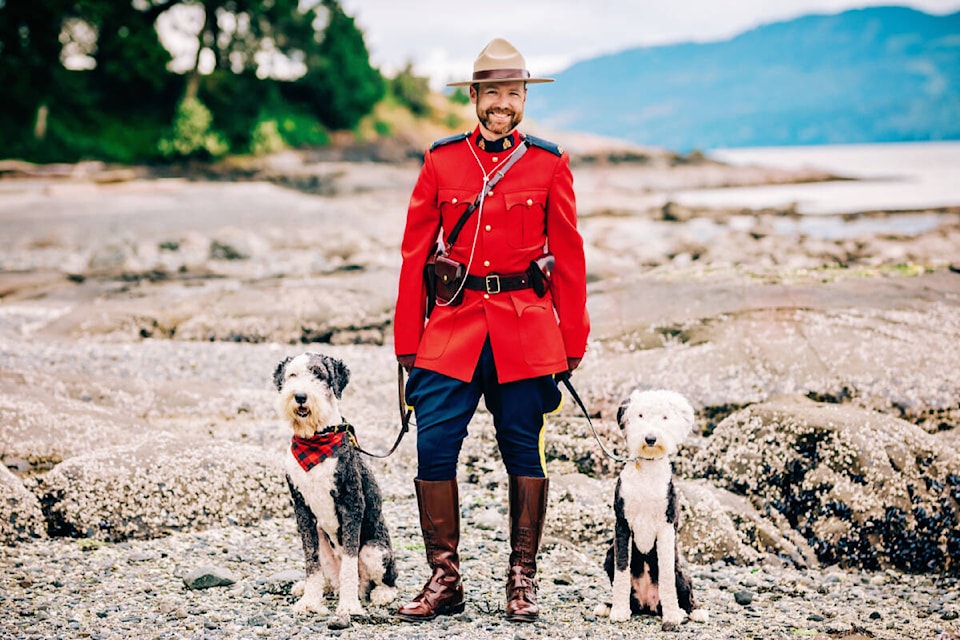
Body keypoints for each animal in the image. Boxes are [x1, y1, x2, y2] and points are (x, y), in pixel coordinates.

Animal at [274, 352, 398, 616]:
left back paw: (380, 594)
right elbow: (310, 560)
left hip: (375, 550)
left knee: (386, 580)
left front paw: (349, 606)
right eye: (292, 375)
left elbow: (349, 563)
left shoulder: (352, 504)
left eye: (319, 374)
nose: (300, 396)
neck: (315, 440)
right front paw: (309, 601)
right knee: (327, 577)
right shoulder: (301, 508)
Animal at [596, 390, 708, 632]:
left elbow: (665, 575)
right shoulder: (622, 525)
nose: (650, 438)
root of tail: (648, 604)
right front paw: (618, 611)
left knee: (686, 589)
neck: (646, 469)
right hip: (609, 554)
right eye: (640, 415)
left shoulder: (666, 525)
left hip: (680, 571)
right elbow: (622, 570)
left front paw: (672, 616)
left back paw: (691, 611)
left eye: (665, 417)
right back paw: (608, 606)